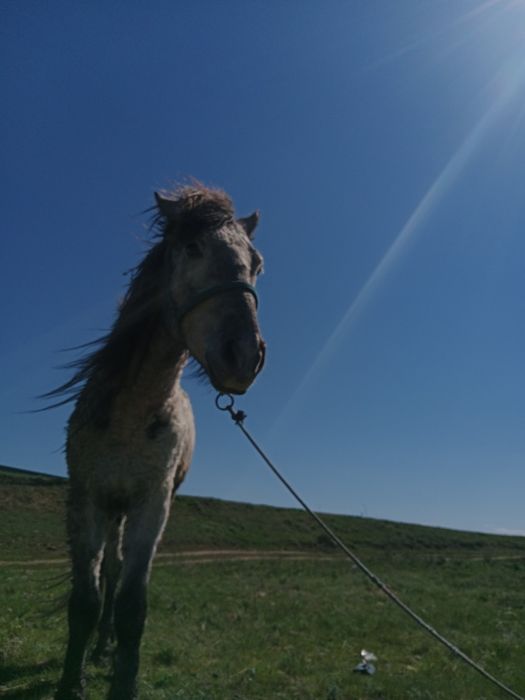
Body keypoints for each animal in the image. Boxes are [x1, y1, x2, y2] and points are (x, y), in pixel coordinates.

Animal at [52, 183, 266, 700]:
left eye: (256, 264)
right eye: (192, 248)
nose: (244, 356)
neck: (132, 413)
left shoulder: (153, 503)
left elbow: (133, 604)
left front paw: (123, 678)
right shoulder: (87, 497)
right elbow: (85, 599)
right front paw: (72, 681)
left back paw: (106, 648)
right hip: (113, 507)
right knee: (110, 569)